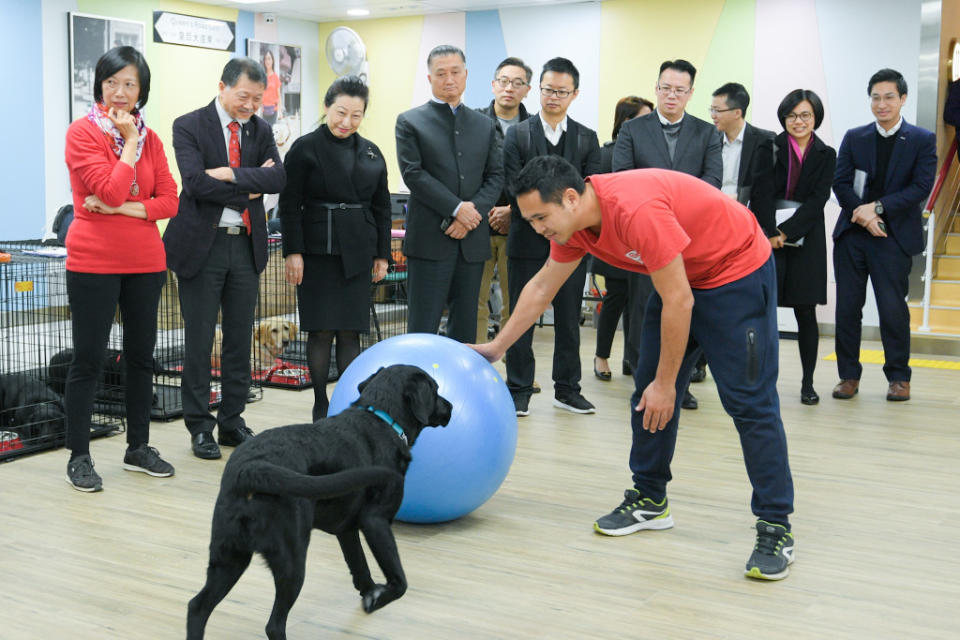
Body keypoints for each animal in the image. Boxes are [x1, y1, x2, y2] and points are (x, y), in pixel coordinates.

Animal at [192, 364, 458, 640]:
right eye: (435, 390)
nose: (450, 407)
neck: (383, 418)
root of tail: (251, 469)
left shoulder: (347, 530)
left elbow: (360, 566)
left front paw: (369, 594)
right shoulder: (375, 521)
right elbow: (399, 581)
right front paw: (379, 596)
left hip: (229, 556)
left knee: (197, 607)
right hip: (292, 560)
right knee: (274, 624)